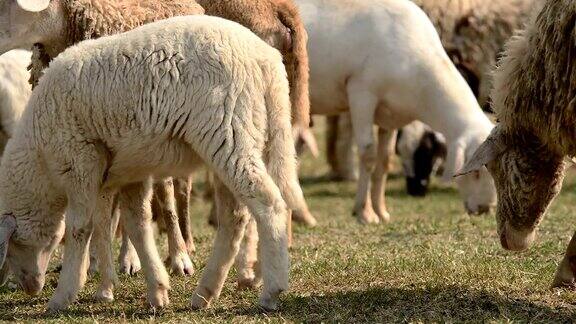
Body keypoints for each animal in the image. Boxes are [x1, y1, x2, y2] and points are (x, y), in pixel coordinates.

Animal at [294, 0, 498, 224]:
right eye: (476, 173)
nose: (485, 208)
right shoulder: (361, 94)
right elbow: (368, 155)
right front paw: (364, 212)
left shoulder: (390, 115)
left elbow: (384, 161)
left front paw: (381, 211)